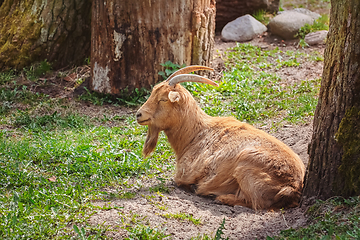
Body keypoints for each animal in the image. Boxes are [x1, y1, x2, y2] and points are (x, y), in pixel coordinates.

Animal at [136, 65, 306, 210]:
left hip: (245, 165)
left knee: (257, 202)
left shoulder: (185, 173)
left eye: (163, 99)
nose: (139, 114)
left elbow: (179, 181)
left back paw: (219, 197)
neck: (195, 134)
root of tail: (293, 185)